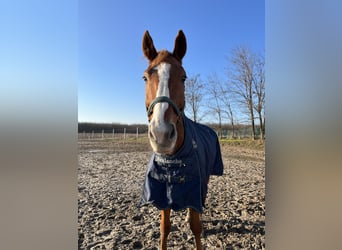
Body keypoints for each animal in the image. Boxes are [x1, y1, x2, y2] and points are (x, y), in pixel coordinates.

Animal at [140, 30, 223, 249]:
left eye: (184, 77)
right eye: (144, 77)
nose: (161, 134)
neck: (172, 161)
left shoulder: (195, 186)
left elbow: (196, 228)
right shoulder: (161, 193)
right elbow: (164, 228)